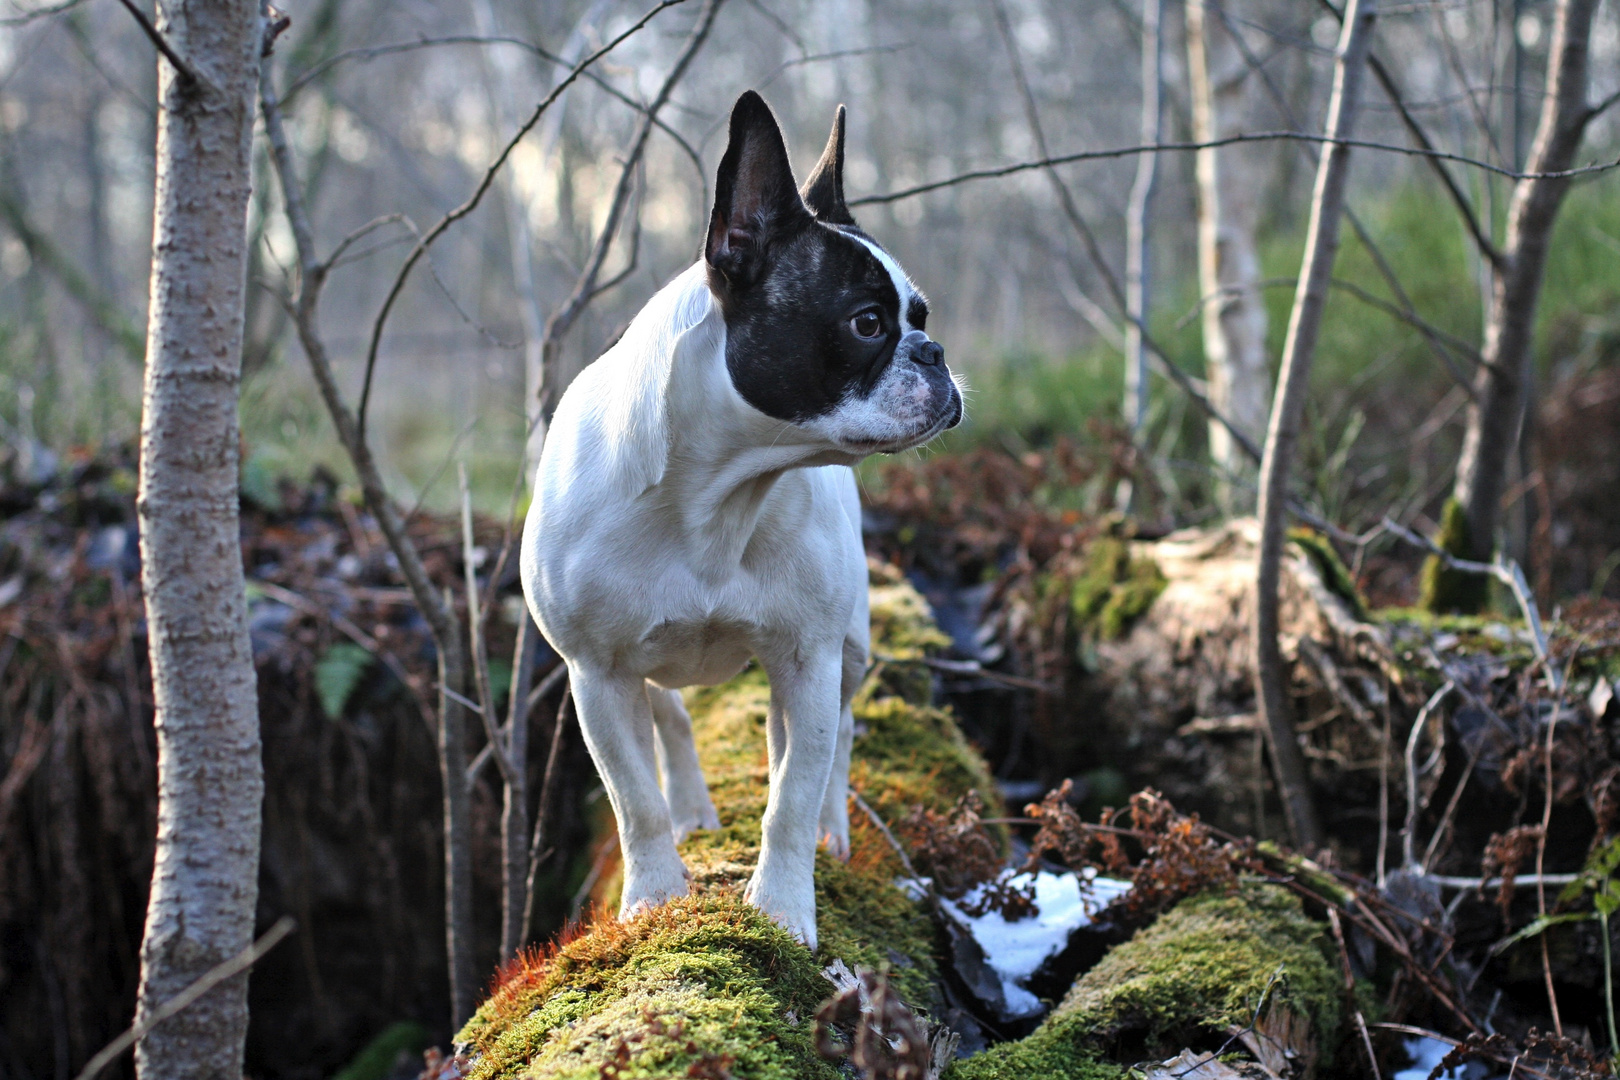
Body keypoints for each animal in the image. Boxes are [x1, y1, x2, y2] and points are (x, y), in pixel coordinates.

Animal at [521, 90, 959, 945]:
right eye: (867, 322)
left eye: (920, 315)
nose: (935, 352)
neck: (714, 490)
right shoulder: (597, 674)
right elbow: (634, 801)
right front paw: (653, 896)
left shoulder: (808, 657)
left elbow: (790, 793)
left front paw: (783, 908)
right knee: (674, 723)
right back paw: (695, 813)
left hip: (848, 649)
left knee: (826, 740)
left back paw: (831, 833)